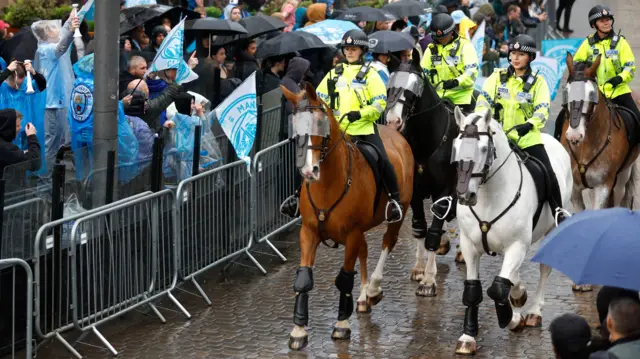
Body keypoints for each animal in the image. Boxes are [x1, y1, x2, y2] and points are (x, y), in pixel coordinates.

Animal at [282, 83, 416, 350]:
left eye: (319, 124)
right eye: (294, 128)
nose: (308, 171)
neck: (328, 184)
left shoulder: (352, 233)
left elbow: (344, 278)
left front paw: (342, 324)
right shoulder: (309, 232)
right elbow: (303, 279)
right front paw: (298, 330)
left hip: (400, 212)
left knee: (387, 242)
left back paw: (373, 289)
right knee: (365, 250)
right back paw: (363, 297)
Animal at [384, 47, 460, 296]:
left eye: (412, 91)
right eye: (389, 88)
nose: (393, 122)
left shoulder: (444, 192)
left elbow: (433, 233)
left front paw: (428, 280)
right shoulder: (415, 192)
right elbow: (419, 228)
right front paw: (419, 269)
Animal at [452, 108, 572, 356]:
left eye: (484, 148)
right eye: (456, 145)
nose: (465, 195)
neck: (488, 196)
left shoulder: (516, 246)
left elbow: (498, 289)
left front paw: (513, 319)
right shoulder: (469, 246)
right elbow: (473, 291)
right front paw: (468, 337)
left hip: (550, 230)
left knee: (543, 269)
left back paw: (533, 311)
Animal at [560, 53, 640, 292]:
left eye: (590, 94)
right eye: (567, 91)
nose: (574, 135)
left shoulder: (604, 185)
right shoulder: (575, 190)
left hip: (623, 177)